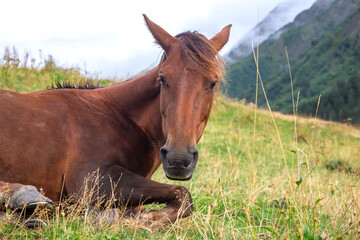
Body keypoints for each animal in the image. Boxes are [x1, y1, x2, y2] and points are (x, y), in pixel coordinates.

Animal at [0, 15, 231, 225]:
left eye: (212, 83)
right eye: (163, 79)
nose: (178, 159)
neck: (118, 116)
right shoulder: (91, 181)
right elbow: (183, 195)